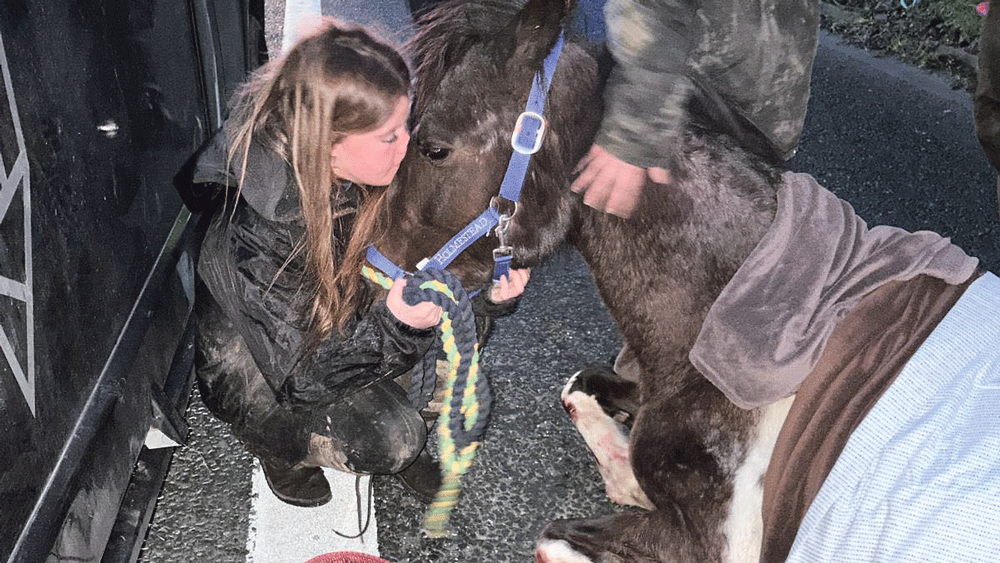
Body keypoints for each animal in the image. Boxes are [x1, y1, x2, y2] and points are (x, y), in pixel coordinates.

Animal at [371, 0, 998, 561]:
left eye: (433, 147)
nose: (377, 275)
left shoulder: (717, 545)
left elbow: (552, 538)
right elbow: (578, 385)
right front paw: (623, 471)